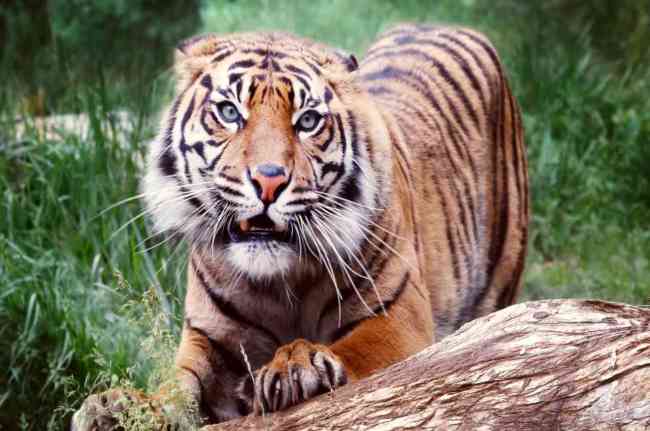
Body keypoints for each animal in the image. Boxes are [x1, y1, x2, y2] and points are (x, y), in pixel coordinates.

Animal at [72, 23, 528, 429]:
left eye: (307, 121)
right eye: (229, 112)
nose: (269, 180)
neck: (279, 283)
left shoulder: (399, 318)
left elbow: (357, 349)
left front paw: (297, 365)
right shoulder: (208, 340)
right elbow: (174, 388)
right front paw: (116, 409)